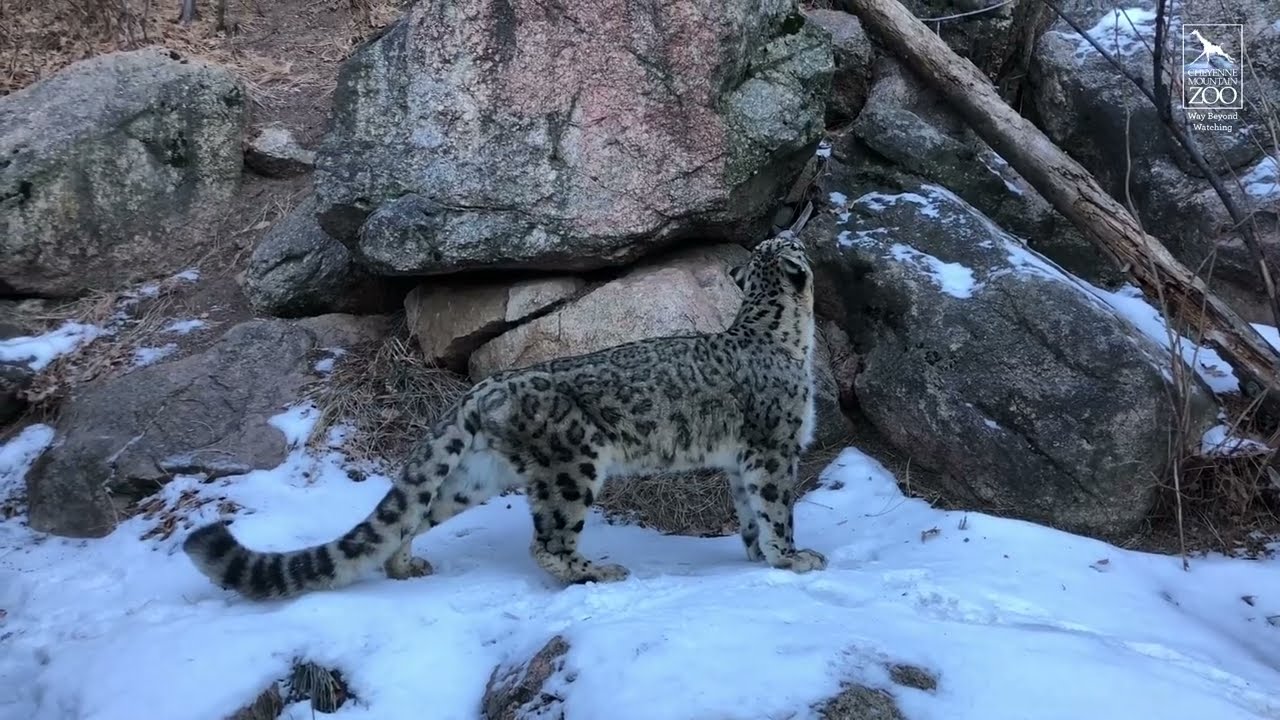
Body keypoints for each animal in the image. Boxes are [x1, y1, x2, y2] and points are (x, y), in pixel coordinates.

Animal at [182, 234, 827, 600]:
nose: (789, 229)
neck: (785, 335)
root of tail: (489, 385)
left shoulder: (743, 457)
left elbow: (749, 510)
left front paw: (758, 555)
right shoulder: (774, 448)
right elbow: (775, 506)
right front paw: (794, 558)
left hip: (477, 474)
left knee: (417, 513)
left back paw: (405, 566)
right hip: (571, 467)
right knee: (549, 542)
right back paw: (596, 572)